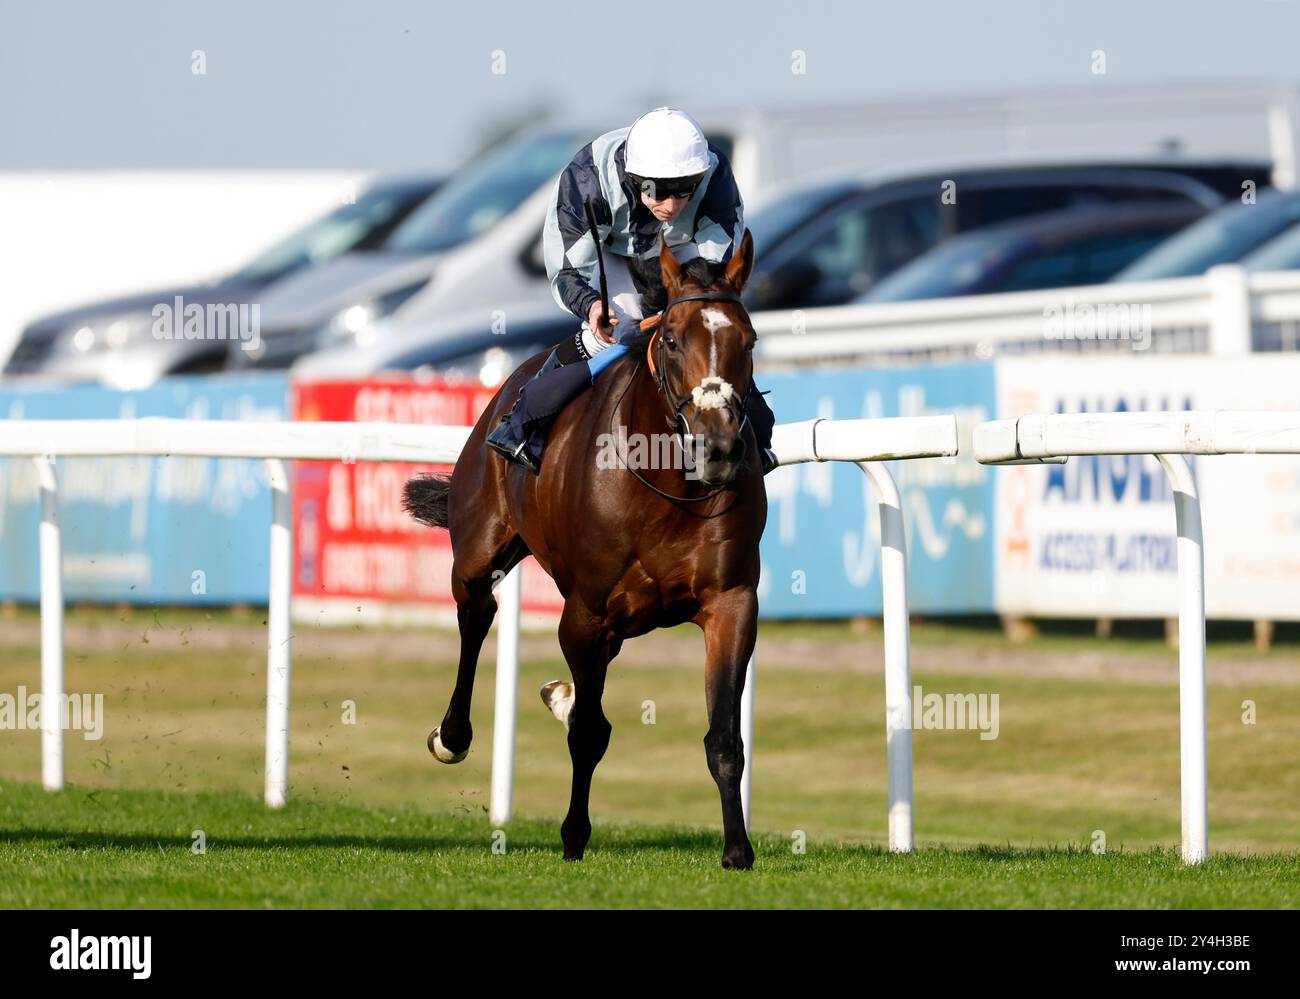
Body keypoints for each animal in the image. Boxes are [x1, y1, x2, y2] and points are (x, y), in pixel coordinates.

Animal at [405, 230, 764, 868]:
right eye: (674, 340)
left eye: (746, 341)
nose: (718, 447)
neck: (666, 487)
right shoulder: (584, 612)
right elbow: (590, 734)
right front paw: (574, 835)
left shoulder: (731, 601)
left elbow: (723, 737)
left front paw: (737, 850)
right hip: (476, 549)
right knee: (477, 614)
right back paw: (452, 735)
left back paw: (559, 694)